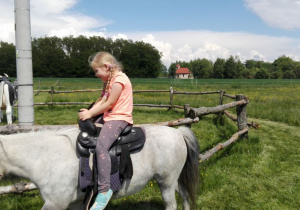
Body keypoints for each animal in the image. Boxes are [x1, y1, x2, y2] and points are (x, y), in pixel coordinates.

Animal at [0, 125, 202, 209]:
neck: (45, 157)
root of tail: (178, 132)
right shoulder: (75, 204)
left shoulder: (54, 204)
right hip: (172, 181)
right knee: (185, 196)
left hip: (166, 183)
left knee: (171, 204)